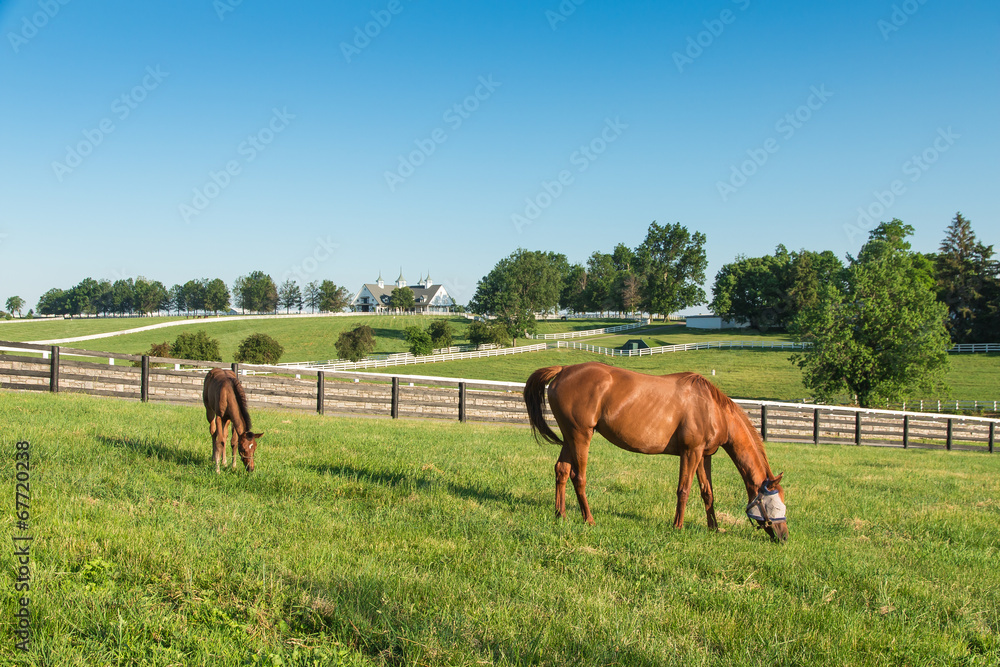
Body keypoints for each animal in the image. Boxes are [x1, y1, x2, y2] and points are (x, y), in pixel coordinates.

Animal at [523, 363, 788, 542]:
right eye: (776, 505)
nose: (784, 537)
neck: (713, 409)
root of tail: (563, 370)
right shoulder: (690, 452)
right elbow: (684, 490)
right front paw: (677, 527)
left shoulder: (704, 456)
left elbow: (707, 493)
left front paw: (713, 528)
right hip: (581, 437)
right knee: (578, 477)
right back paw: (589, 519)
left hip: (570, 437)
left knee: (561, 471)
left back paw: (561, 515)